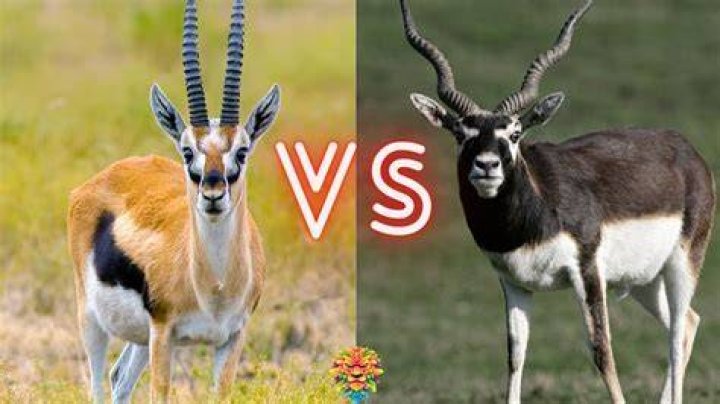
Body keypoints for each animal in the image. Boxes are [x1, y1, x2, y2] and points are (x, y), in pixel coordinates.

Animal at [67, 1, 281, 402]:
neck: (215, 287)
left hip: (139, 338)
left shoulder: (231, 339)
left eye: (242, 151)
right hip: (93, 320)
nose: (212, 194)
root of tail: (107, 175)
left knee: (120, 378)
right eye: (187, 151)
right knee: (99, 386)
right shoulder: (164, 333)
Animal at [400, 0, 715, 403]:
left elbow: (602, 351)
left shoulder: (588, 272)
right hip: (644, 278)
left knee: (676, 334)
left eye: (515, 133)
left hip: (682, 262)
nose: (487, 166)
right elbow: (515, 355)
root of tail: (685, 149)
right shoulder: (514, 282)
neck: (533, 216)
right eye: (461, 133)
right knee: (689, 322)